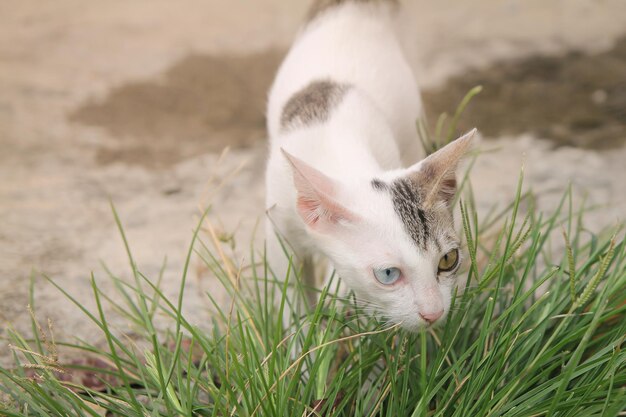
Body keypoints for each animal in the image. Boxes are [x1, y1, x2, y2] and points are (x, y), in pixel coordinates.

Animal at [264, 0, 472, 332]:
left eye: (448, 260)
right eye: (388, 274)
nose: (434, 313)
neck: (335, 145)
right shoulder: (278, 223)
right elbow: (288, 294)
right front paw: (301, 336)